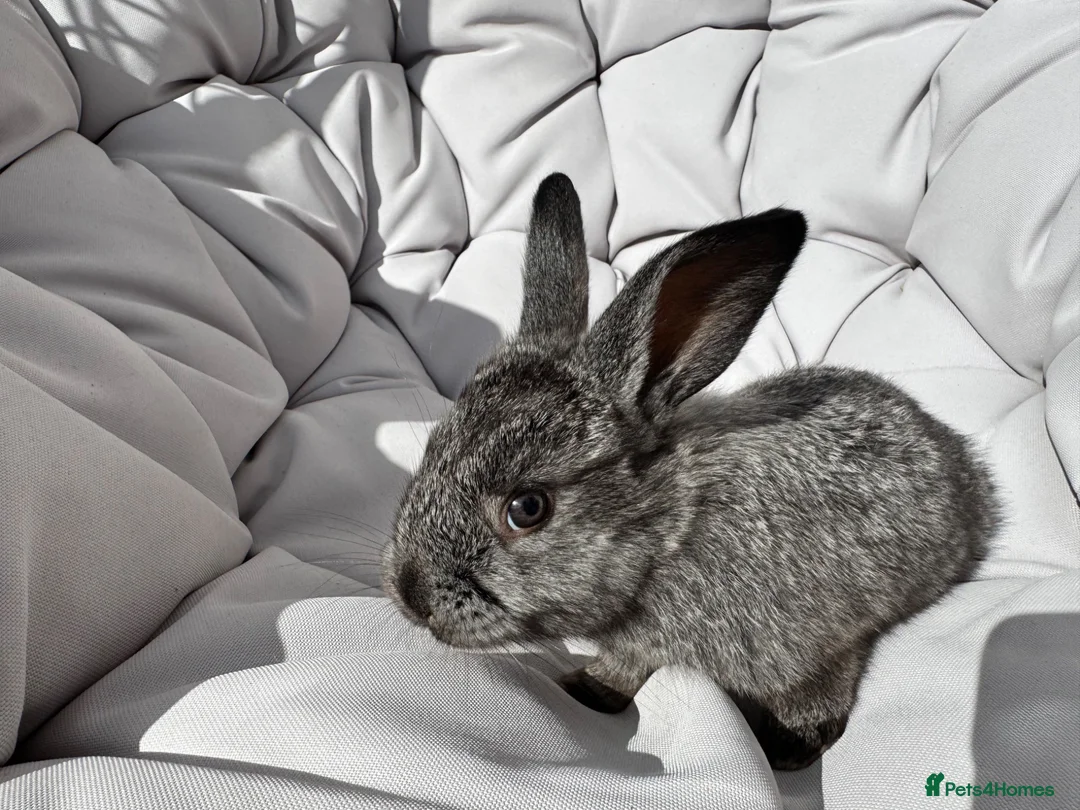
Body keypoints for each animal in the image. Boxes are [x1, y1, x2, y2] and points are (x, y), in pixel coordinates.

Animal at [381, 173, 998, 770]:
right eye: (433, 447)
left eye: (527, 508)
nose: (412, 593)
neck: (669, 535)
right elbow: (625, 664)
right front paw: (589, 688)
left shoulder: (818, 645)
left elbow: (818, 688)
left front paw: (790, 746)